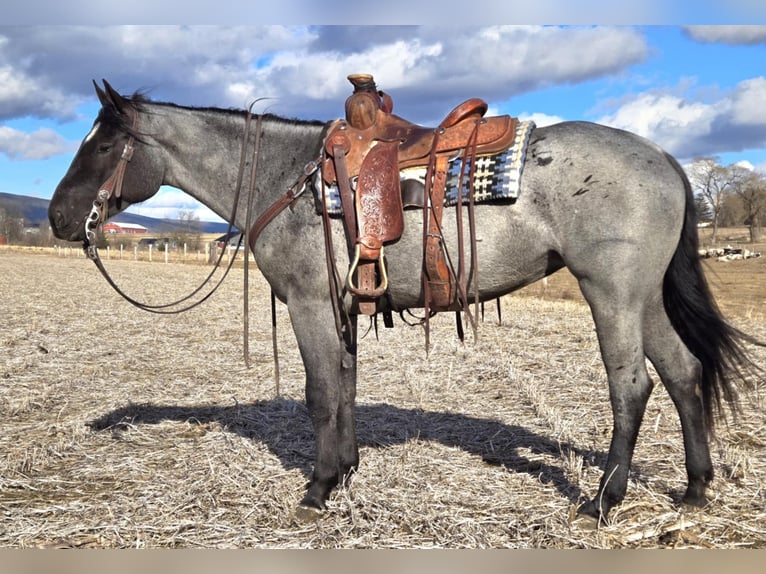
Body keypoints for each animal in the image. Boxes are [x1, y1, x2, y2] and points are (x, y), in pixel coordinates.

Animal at [49, 80, 760, 528]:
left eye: (104, 146)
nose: (58, 217)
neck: (285, 177)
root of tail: (662, 156)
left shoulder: (309, 302)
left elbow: (319, 392)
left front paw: (316, 491)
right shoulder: (341, 306)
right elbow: (343, 385)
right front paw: (344, 472)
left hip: (611, 291)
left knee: (632, 385)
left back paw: (602, 504)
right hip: (643, 298)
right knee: (683, 372)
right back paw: (694, 490)